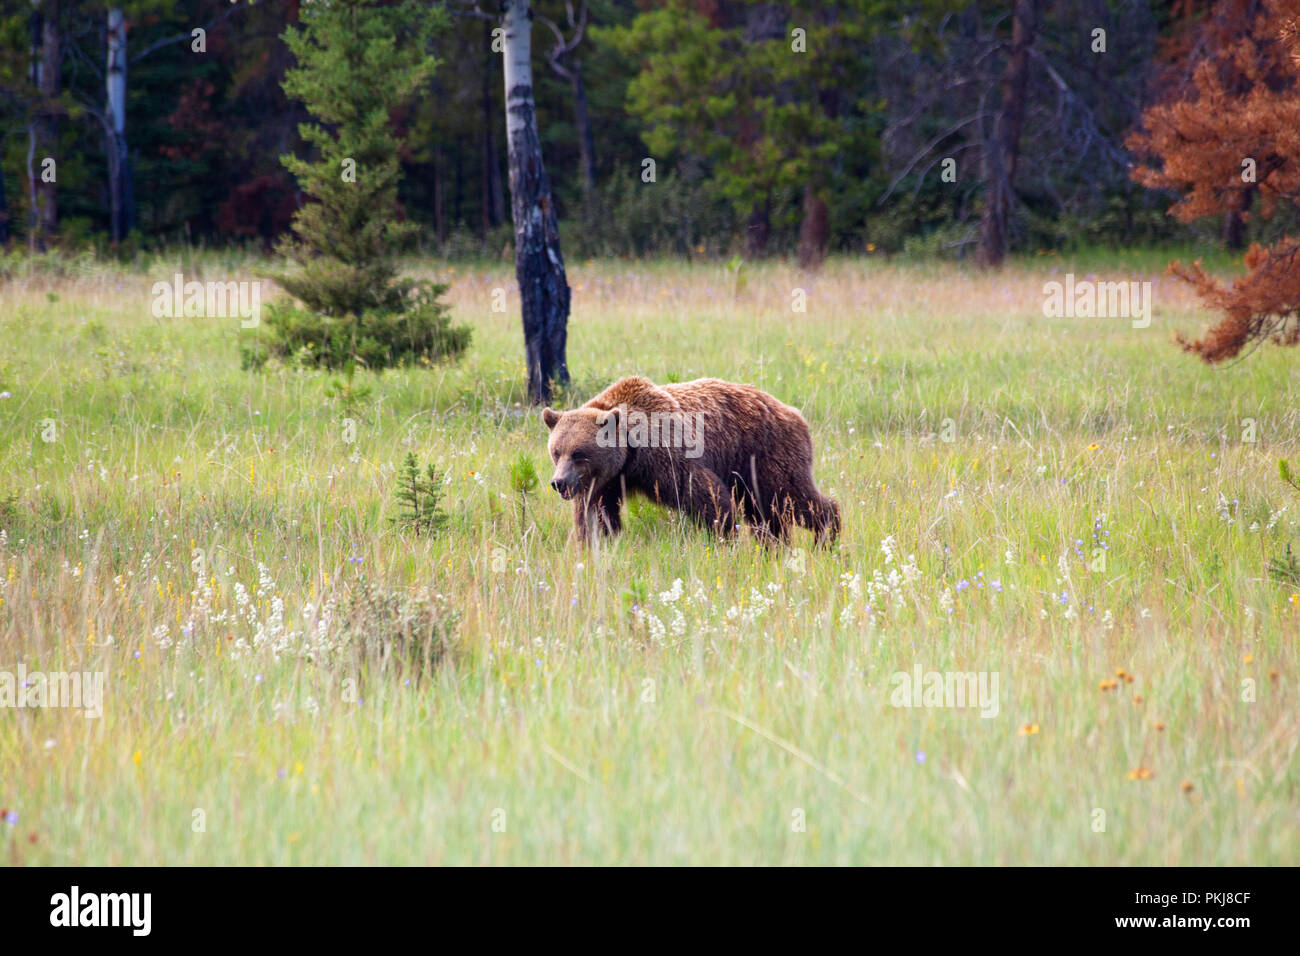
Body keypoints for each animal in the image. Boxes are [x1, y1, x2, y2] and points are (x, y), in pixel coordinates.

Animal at [540, 374, 837, 546]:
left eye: (579, 453)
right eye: (556, 451)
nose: (559, 482)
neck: (631, 452)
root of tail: (793, 412)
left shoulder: (666, 455)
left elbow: (707, 496)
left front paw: (723, 536)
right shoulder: (605, 481)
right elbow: (596, 514)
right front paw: (598, 542)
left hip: (765, 452)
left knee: (791, 498)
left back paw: (827, 535)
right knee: (767, 514)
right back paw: (774, 547)